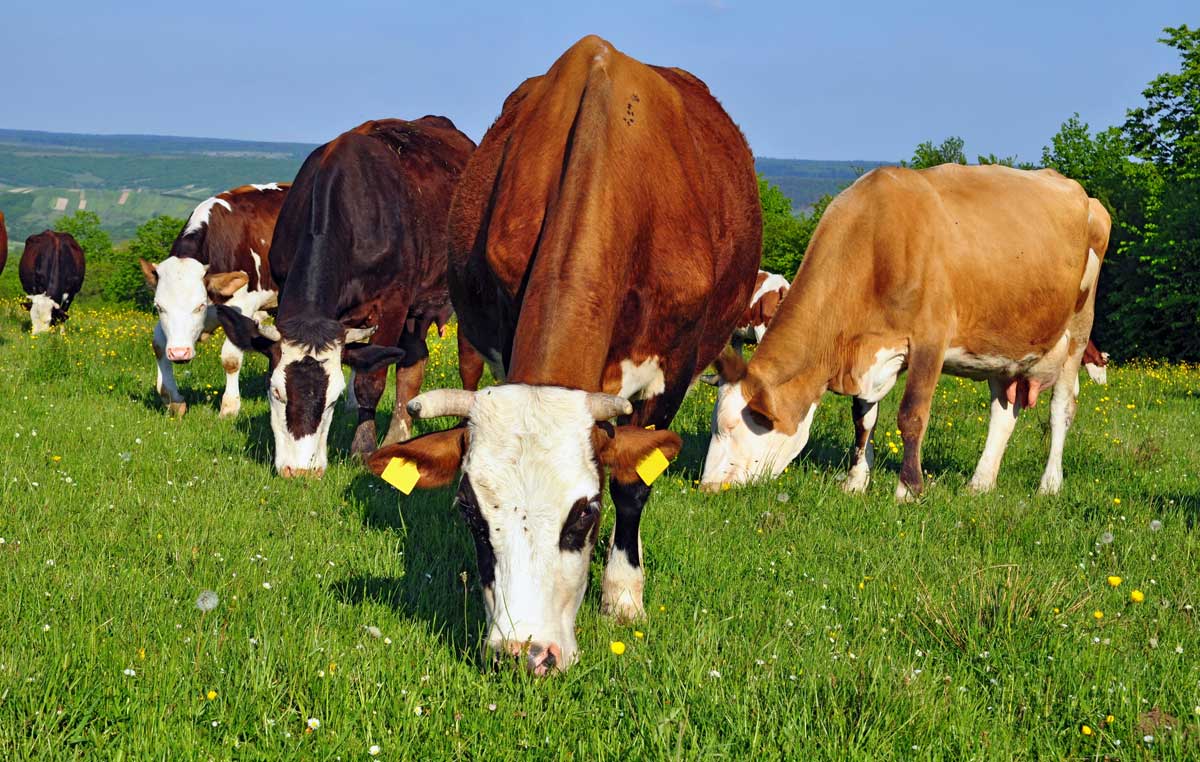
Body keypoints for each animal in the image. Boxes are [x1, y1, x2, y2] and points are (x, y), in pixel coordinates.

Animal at [139, 183, 289, 417]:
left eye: (199, 306)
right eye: (159, 307)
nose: (179, 353)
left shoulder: (243, 306)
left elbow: (231, 358)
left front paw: (229, 408)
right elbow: (158, 344)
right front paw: (174, 400)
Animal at [218, 115, 480, 477]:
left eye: (333, 397)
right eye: (276, 392)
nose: (300, 471)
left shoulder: (393, 302)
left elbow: (370, 382)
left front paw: (362, 448)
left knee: (470, 365)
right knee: (413, 361)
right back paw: (396, 437)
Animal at [362, 34, 758, 672]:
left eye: (585, 514)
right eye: (470, 514)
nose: (525, 652)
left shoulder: (672, 370)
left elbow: (633, 485)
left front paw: (623, 596)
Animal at [700, 165, 1104, 501]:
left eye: (734, 426)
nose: (705, 487)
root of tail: (1082, 194)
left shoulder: (930, 340)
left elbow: (912, 415)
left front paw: (908, 490)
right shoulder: (869, 351)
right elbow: (863, 419)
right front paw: (856, 482)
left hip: (1077, 334)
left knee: (1061, 409)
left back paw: (1049, 485)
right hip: (1003, 346)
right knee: (1003, 413)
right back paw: (980, 483)